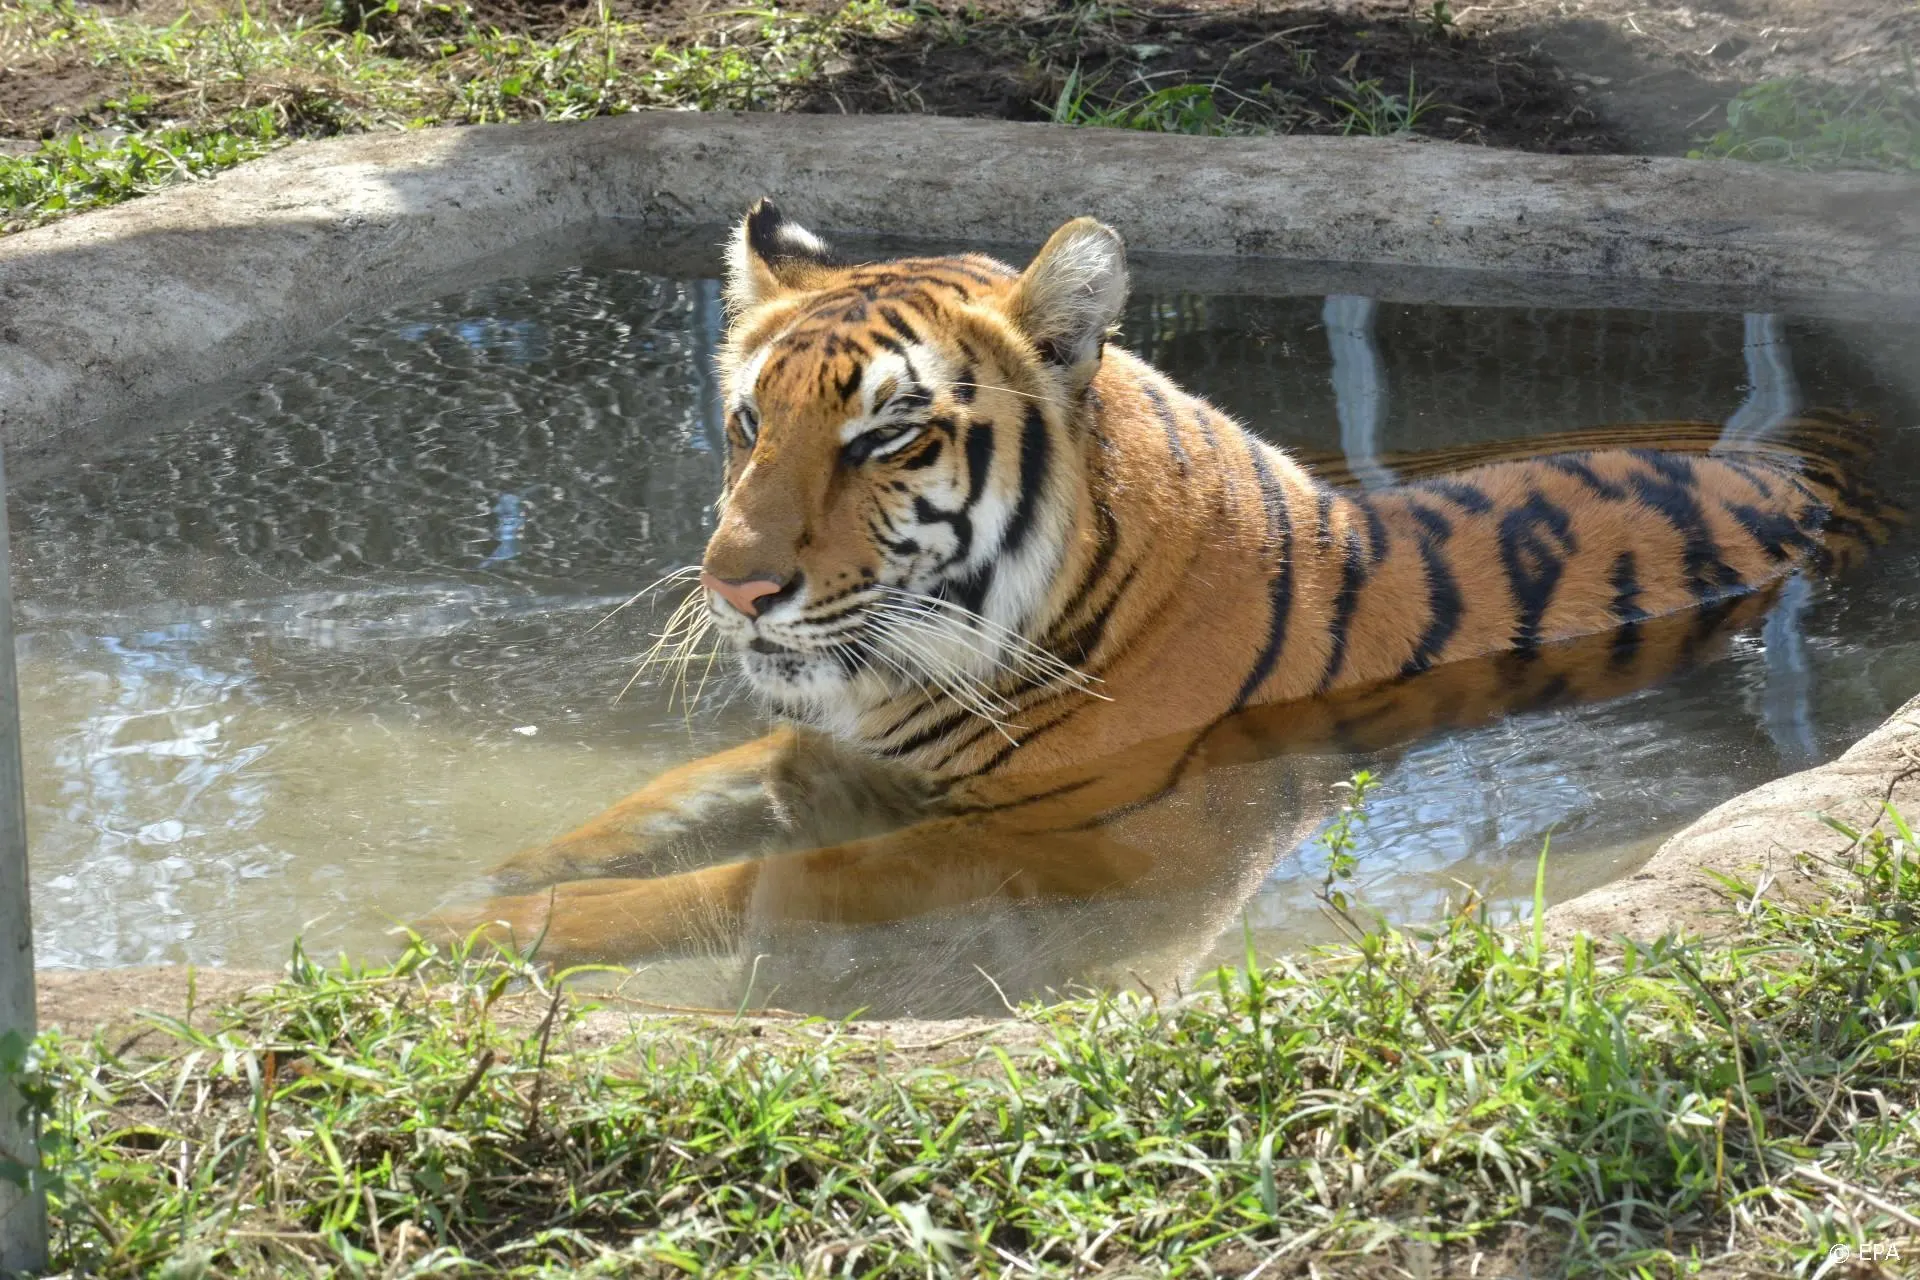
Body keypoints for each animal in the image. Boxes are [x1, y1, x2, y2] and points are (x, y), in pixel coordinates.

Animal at [420, 201, 1898, 1009]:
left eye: (885, 438)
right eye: (744, 423)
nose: (734, 586)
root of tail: (1823, 432)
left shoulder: (1043, 838)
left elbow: (757, 881)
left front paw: (469, 931)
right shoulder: (820, 751)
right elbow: (655, 807)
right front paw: (497, 873)